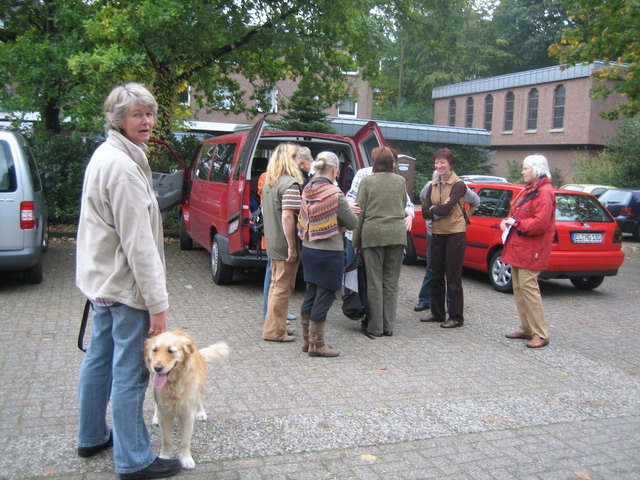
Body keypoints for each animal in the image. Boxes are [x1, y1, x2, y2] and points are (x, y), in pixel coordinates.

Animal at [144, 330, 229, 468]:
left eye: (170, 351)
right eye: (155, 350)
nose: (157, 368)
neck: (173, 384)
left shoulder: (187, 414)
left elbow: (185, 441)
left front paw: (186, 459)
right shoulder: (165, 413)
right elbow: (166, 440)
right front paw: (165, 457)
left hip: (200, 385)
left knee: (199, 399)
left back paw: (201, 412)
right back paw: (156, 417)